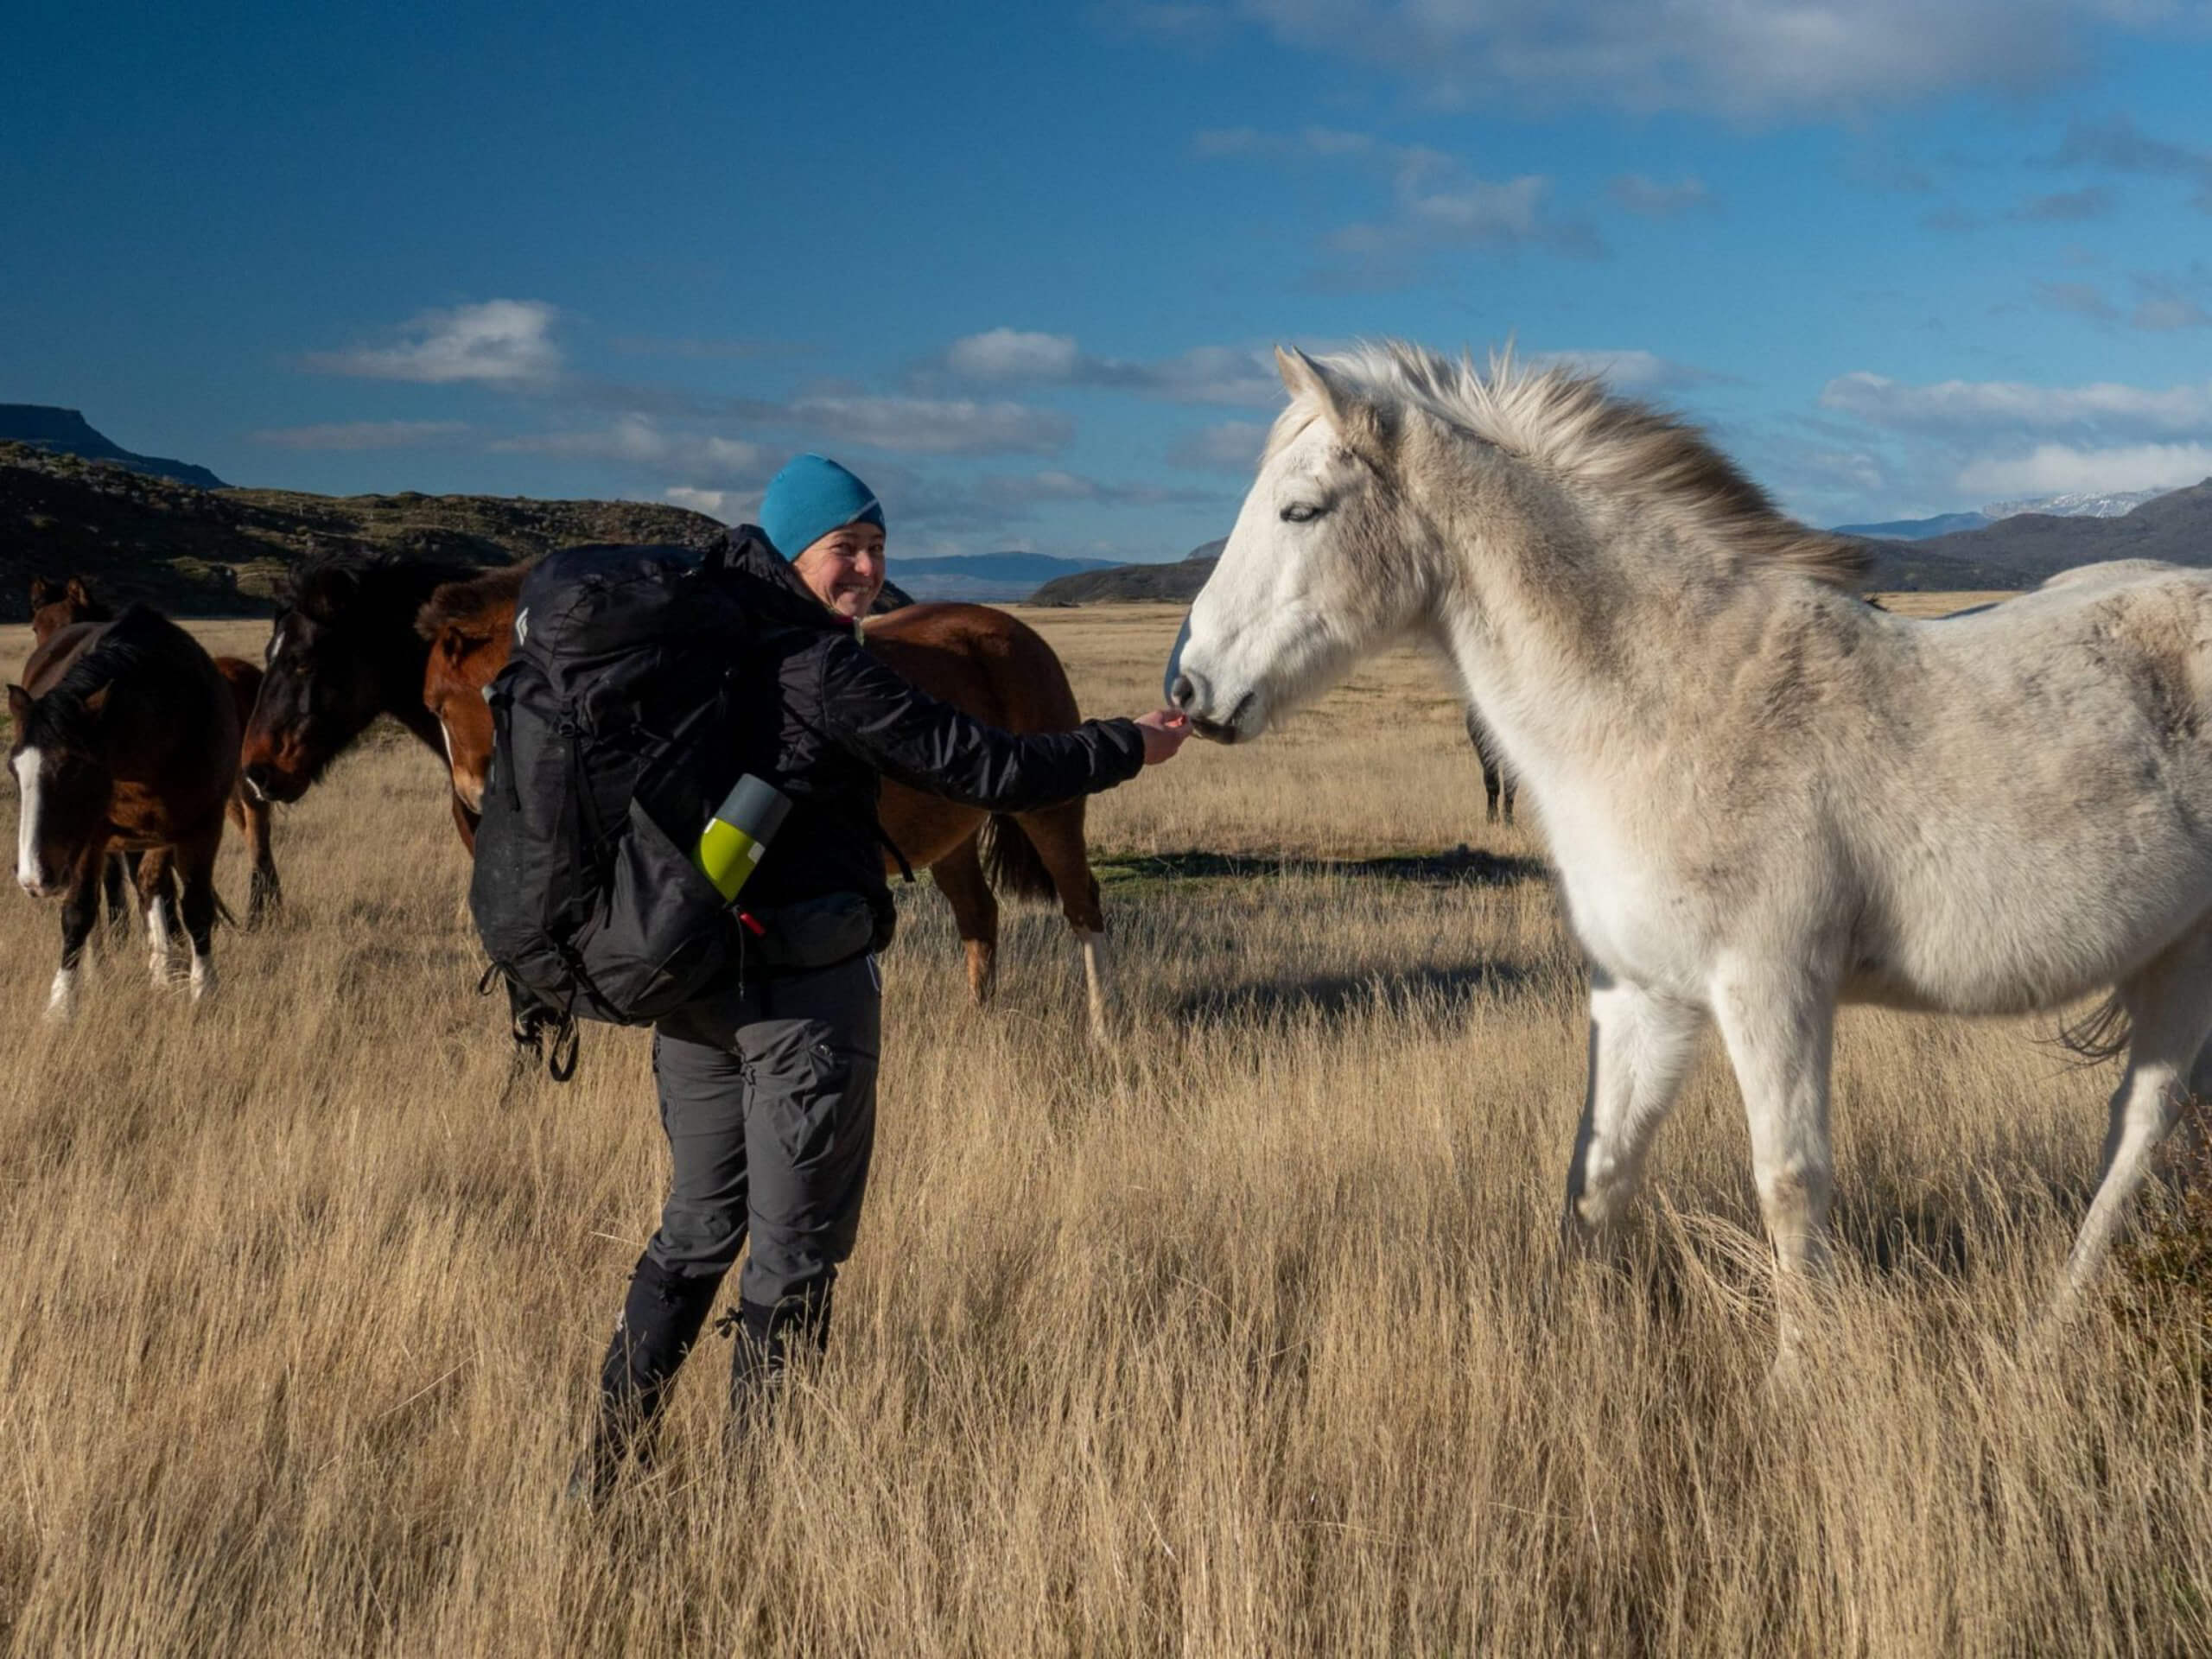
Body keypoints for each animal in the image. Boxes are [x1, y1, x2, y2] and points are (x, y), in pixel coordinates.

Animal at [9, 597, 242, 1013]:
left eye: (75, 767)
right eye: (13, 769)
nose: (34, 878)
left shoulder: (202, 826)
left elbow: (195, 907)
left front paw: (203, 991)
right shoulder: (91, 838)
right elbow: (78, 913)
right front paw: (61, 1006)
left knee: (151, 886)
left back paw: (164, 973)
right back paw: (99, 971)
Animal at [1176, 340, 2212, 1380]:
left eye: (1300, 510)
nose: (1188, 690)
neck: (1675, 694)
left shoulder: (1771, 986)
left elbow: (1789, 1181)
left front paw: (1796, 1377)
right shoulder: (1643, 994)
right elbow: (1598, 1174)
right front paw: (1576, 1341)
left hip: (2188, 967)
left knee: (2137, 1132)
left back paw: (2048, 1332)